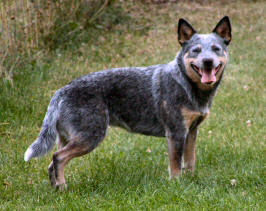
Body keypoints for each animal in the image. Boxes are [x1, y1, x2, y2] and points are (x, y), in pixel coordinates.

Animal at [25, 16, 233, 190]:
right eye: (195, 50)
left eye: (216, 48)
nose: (207, 61)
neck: (186, 84)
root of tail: (61, 91)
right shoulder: (176, 133)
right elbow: (175, 165)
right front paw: (176, 185)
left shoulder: (191, 131)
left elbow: (190, 162)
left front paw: (190, 181)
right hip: (90, 136)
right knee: (58, 158)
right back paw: (63, 188)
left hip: (68, 138)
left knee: (52, 164)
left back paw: (56, 189)